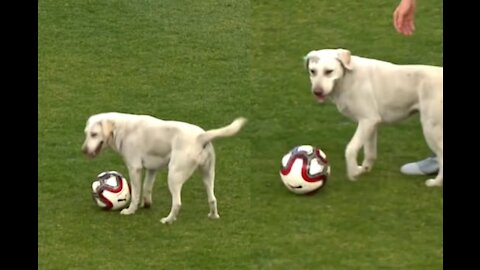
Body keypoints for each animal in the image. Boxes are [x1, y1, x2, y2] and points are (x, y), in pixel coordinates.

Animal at [81, 112, 248, 224]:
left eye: (94, 134)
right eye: (86, 134)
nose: (83, 151)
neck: (122, 127)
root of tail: (201, 137)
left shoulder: (134, 168)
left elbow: (135, 194)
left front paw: (130, 211)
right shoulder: (151, 169)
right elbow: (147, 188)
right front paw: (146, 204)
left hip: (174, 176)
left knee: (177, 203)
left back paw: (168, 220)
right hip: (208, 175)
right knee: (212, 198)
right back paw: (213, 216)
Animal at [304, 48, 442, 187]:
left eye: (329, 71)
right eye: (312, 71)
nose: (317, 92)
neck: (348, 77)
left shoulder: (367, 120)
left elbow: (350, 149)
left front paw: (353, 172)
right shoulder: (372, 124)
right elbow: (370, 153)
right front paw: (363, 170)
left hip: (430, 129)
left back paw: (435, 183)